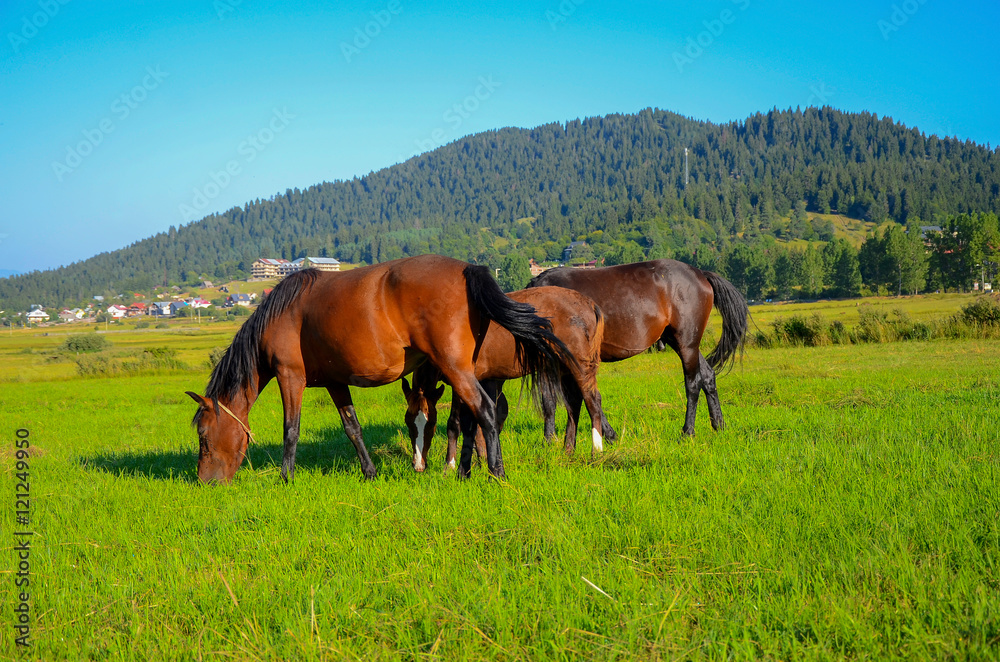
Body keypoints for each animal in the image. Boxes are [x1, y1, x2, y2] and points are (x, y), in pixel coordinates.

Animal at [187, 254, 572, 482]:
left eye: (203, 436)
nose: (205, 481)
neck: (283, 312)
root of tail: (468, 270)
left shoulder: (289, 377)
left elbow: (290, 430)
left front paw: (286, 477)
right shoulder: (335, 382)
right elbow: (352, 428)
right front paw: (369, 472)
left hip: (455, 369)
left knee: (487, 412)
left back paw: (496, 472)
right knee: (471, 417)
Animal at [400, 286, 604, 472]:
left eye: (431, 423)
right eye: (408, 422)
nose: (418, 466)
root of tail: (588, 303)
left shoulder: (461, 383)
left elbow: (455, 424)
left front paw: (449, 466)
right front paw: (482, 459)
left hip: (580, 367)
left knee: (593, 402)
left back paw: (597, 451)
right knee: (574, 406)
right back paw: (568, 450)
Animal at [528, 260, 748, 440]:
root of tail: (700, 274)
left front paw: (551, 439)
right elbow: (557, 398)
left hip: (687, 343)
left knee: (693, 383)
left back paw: (688, 432)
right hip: (679, 342)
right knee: (708, 376)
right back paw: (719, 425)